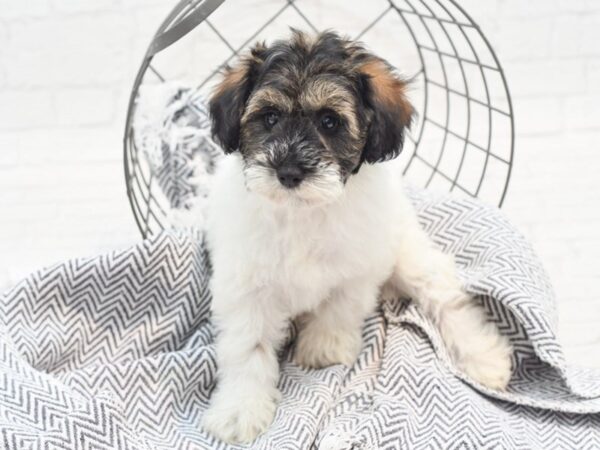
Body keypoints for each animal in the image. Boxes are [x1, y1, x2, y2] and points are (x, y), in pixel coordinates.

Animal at [202, 30, 510, 442]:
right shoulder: (246, 285)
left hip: (407, 249)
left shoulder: (359, 266)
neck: (304, 211)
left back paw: (484, 356)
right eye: (269, 117)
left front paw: (324, 349)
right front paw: (240, 409)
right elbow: (247, 346)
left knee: (445, 298)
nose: (288, 172)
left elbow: (339, 308)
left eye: (330, 122)